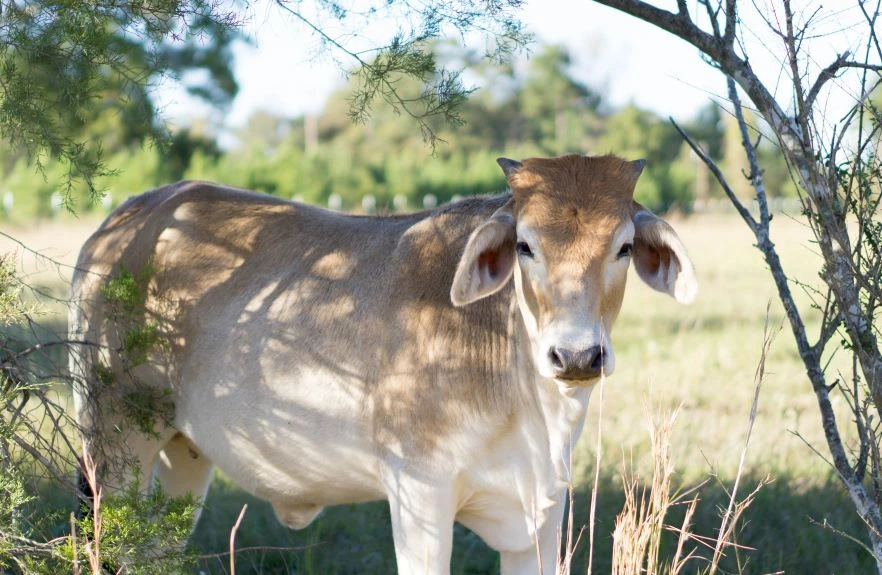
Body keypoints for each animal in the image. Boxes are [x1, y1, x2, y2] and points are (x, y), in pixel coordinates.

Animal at [69, 154, 696, 574]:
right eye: (525, 246)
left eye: (621, 247)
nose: (576, 354)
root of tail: (127, 218)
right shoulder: (420, 497)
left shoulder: (541, 519)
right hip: (114, 445)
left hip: (182, 453)